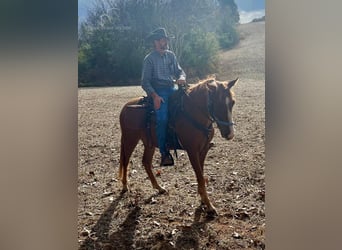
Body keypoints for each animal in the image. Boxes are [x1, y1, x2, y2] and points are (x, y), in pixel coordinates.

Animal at [118, 77, 238, 216]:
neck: (193, 113)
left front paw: (203, 200)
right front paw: (209, 206)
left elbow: (201, 175)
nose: (230, 134)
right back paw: (125, 186)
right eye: (216, 103)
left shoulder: (203, 150)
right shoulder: (192, 151)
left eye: (232, 102)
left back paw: (159, 188)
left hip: (149, 143)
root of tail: (125, 108)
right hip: (130, 139)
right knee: (125, 161)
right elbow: (200, 176)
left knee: (146, 162)